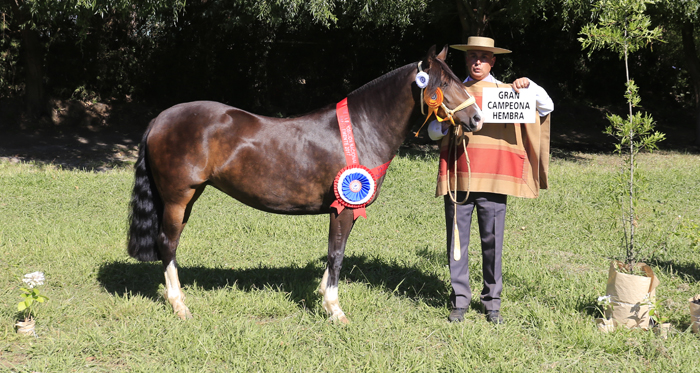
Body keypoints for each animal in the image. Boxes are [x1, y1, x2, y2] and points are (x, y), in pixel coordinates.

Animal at [127, 45, 482, 322]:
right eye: (444, 83)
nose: (477, 118)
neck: (361, 128)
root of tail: (161, 118)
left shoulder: (344, 209)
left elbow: (334, 254)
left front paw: (325, 296)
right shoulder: (343, 209)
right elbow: (336, 255)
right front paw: (335, 309)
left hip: (186, 198)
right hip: (177, 198)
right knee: (167, 243)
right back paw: (179, 306)